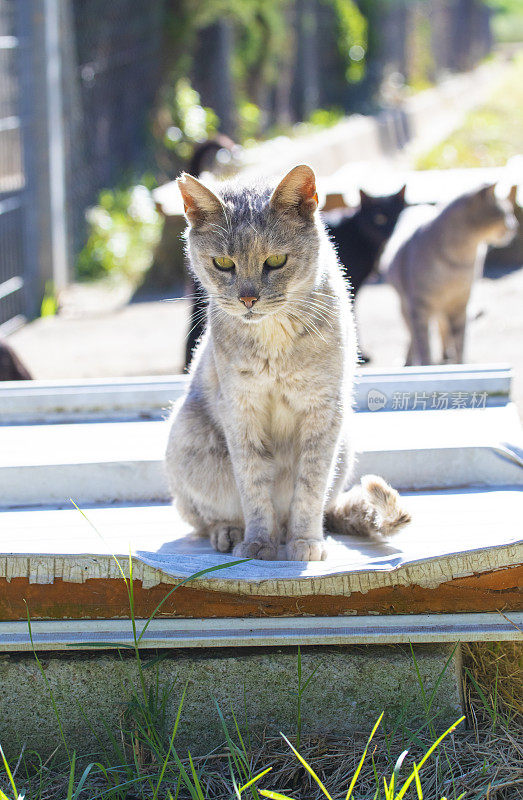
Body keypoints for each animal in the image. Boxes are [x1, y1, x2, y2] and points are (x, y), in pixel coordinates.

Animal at [380, 186, 520, 364]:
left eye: (510, 212)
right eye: (506, 213)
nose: (515, 225)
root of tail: (420, 206)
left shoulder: (461, 304)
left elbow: (460, 342)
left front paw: (459, 363)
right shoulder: (418, 305)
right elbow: (423, 344)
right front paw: (426, 365)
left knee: (442, 327)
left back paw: (446, 352)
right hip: (406, 304)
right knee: (414, 334)